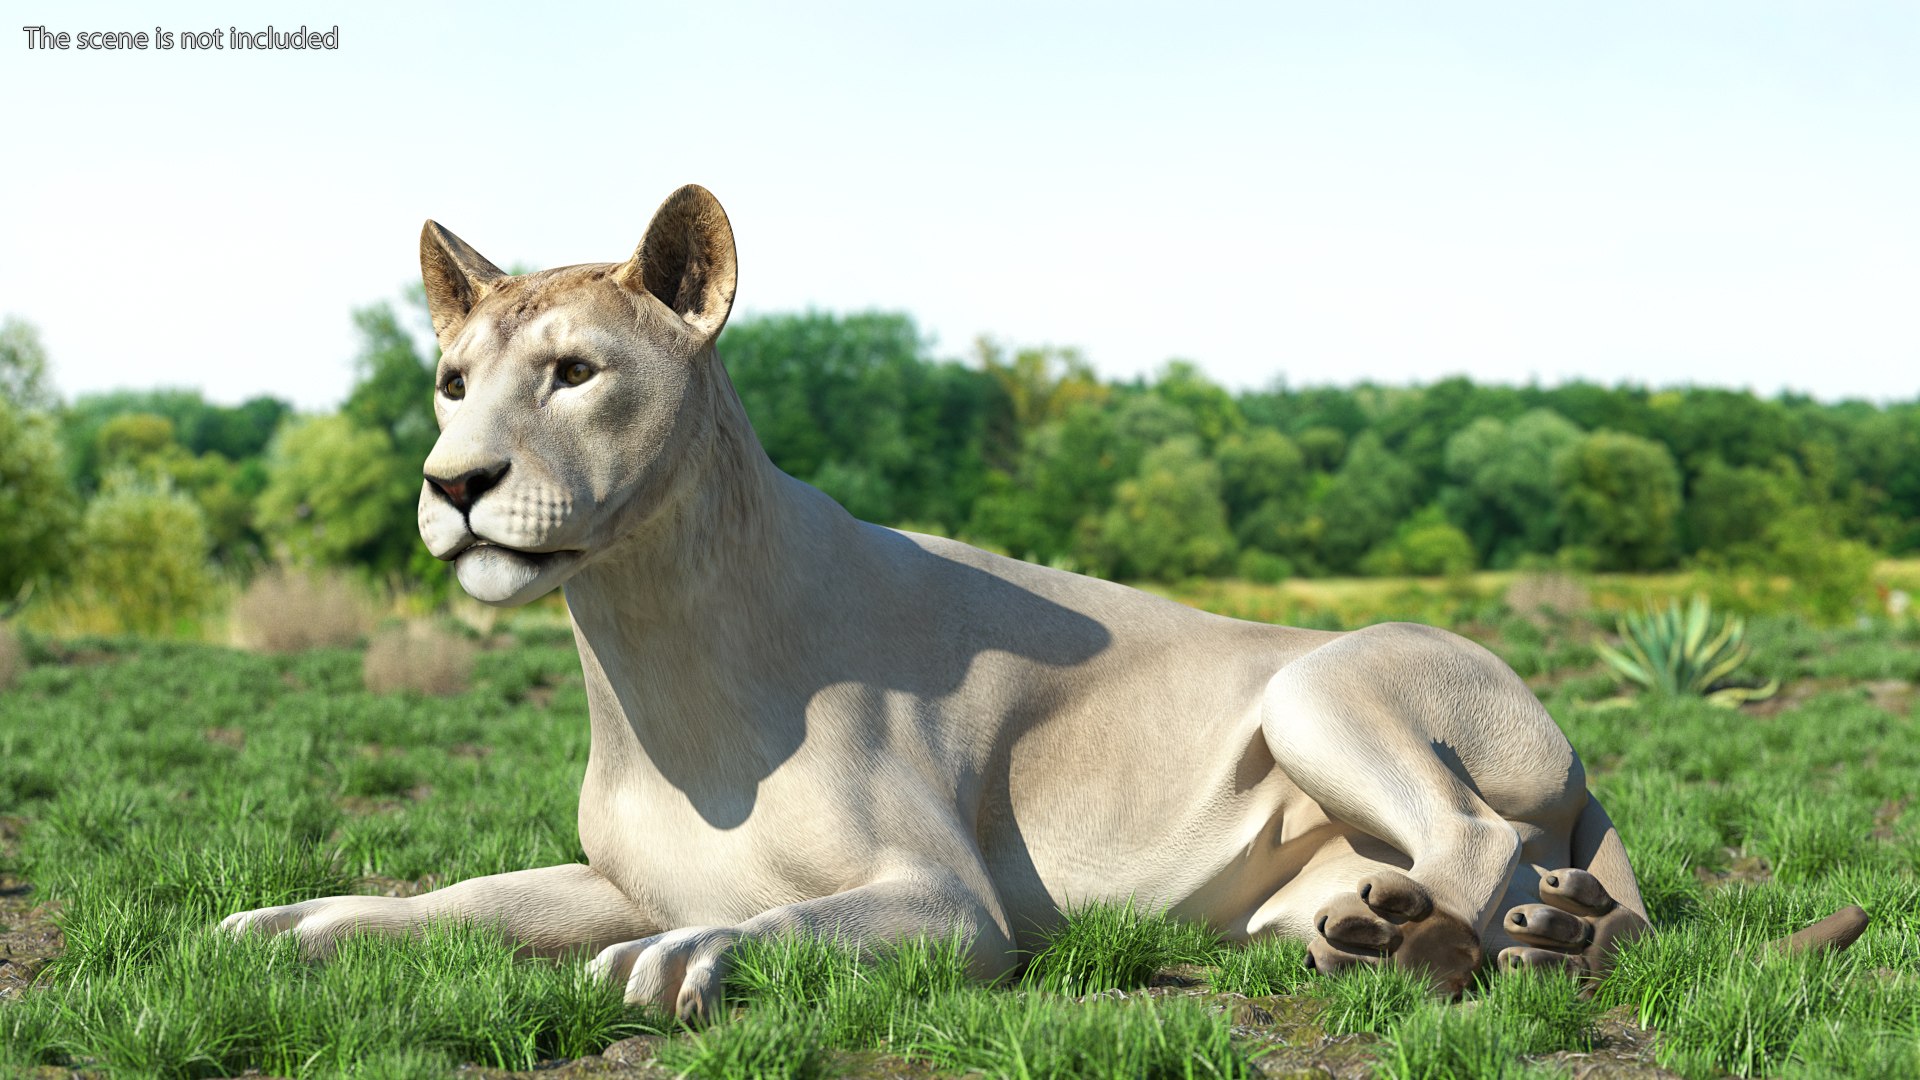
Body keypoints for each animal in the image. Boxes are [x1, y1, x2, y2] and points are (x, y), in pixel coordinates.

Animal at [223, 185, 1866, 1017]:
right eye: (453, 380)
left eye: (574, 372)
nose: (454, 482)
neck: (648, 648)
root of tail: (1566, 737)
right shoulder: (620, 873)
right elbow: (460, 900)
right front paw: (283, 921)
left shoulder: (959, 906)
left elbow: (791, 923)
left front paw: (693, 964)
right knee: (1464, 876)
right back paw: (1447, 931)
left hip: (1318, 684)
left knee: (1472, 837)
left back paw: (1460, 952)